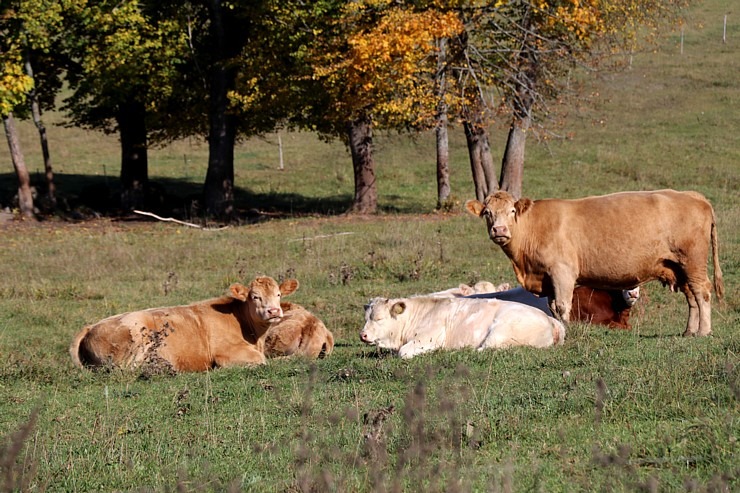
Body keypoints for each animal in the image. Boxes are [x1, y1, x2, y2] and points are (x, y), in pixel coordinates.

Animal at [362, 294, 564, 360]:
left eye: (379, 318)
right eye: (366, 317)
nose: (362, 335)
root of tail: (550, 319)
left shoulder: (427, 338)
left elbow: (403, 352)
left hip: (499, 334)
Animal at [466, 190, 724, 336]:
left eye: (512, 211)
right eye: (487, 213)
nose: (499, 230)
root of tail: (692, 195)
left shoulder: (562, 272)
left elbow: (563, 306)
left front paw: (566, 330)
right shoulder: (549, 279)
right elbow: (553, 307)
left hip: (693, 261)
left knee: (702, 292)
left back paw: (704, 331)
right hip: (679, 267)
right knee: (691, 296)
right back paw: (689, 331)